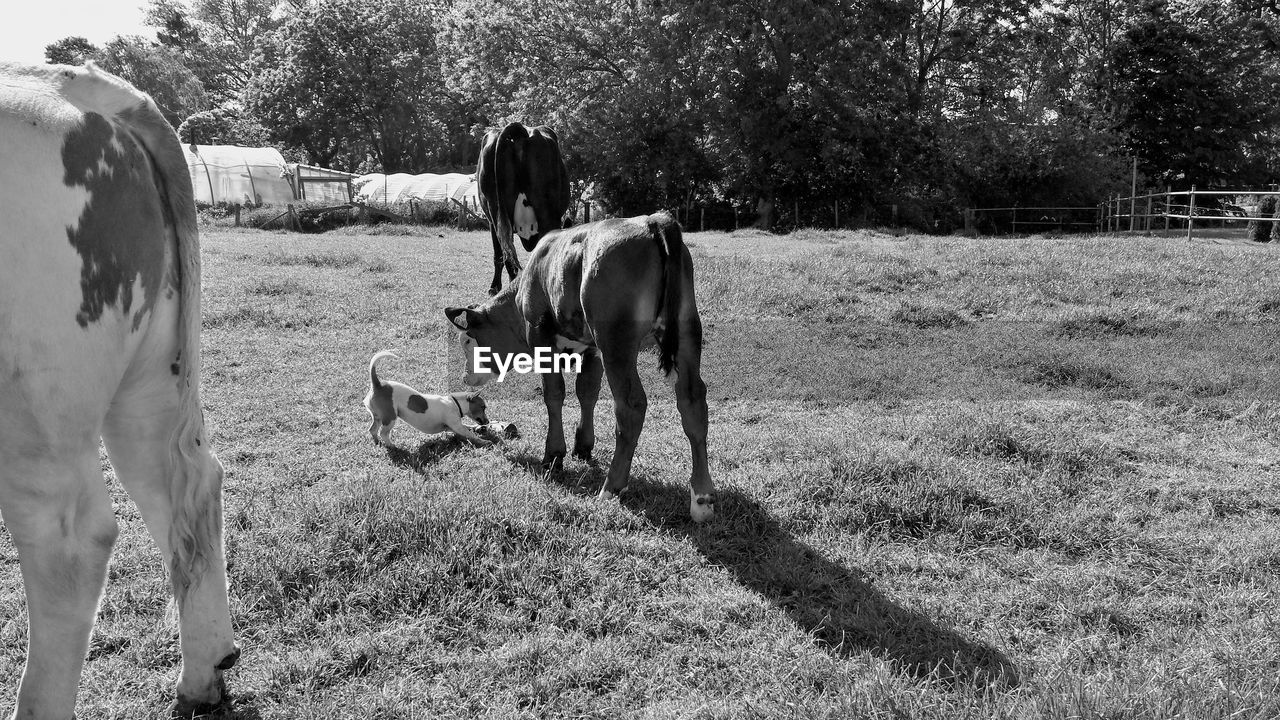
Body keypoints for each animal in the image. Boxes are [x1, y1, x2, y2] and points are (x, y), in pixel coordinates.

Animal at [368, 351, 496, 445]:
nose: (488, 421)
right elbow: (470, 434)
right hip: (390, 417)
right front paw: (484, 441)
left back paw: (378, 442)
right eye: (483, 407)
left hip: (378, 417)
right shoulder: (457, 426)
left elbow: (468, 427)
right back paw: (393, 446)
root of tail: (378, 384)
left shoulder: (451, 427)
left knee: (372, 430)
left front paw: (477, 428)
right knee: (383, 433)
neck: (455, 403)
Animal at [445, 210, 716, 517]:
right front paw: (583, 446)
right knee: (692, 400)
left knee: (630, 405)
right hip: (686, 332)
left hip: (616, 342)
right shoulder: (592, 348)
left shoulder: (541, 337)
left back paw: (611, 488)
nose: (465, 378)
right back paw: (701, 497)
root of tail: (651, 220)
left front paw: (553, 455)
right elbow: (587, 391)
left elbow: (554, 395)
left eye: (468, 340)